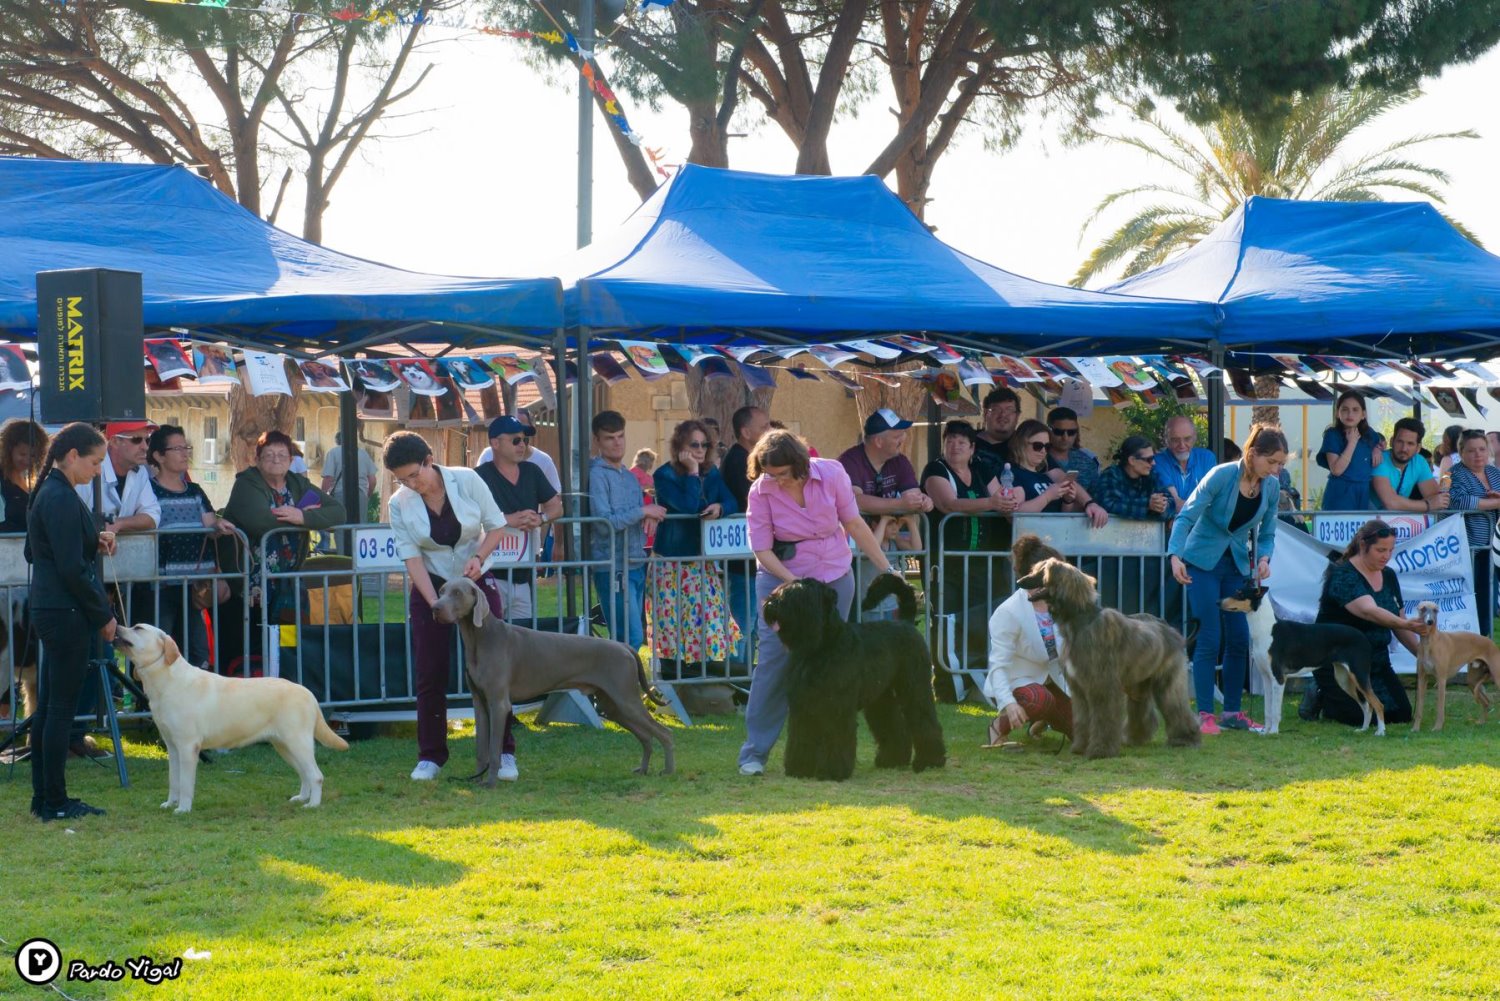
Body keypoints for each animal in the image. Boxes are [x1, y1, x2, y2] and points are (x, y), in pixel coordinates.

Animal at [114, 627, 348, 816]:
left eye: (137, 628)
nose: (117, 626)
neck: (167, 680)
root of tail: (309, 693)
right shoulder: (172, 747)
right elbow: (174, 780)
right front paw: (170, 803)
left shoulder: (188, 746)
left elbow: (186, 783)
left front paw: (183, 809)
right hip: (284, 746)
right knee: (305, 774)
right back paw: (302, 798)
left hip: (297, 742)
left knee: (316, 775)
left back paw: (313, 805)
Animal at [429, 579, 675, 780]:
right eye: (441, 591)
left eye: (457, 593)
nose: (435, 607)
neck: (480, 638)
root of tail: (624, 646)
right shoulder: (480, 703)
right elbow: (481, 749)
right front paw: (477, 779)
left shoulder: (499, 704)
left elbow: (494, 749)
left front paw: (490, 783)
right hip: (611, 705)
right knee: (646, 737)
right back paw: (643, 770)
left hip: (625, 698)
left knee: (664, 733)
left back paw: (668, 771)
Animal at [768, 570, 942, 780]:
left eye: (801, 596)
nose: (771, 604)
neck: (821, 646)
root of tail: (905, 622)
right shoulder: (802, 704)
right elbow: (801, 737)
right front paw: (799, 768)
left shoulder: (837, 706)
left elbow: (836, 738)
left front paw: (832, 771)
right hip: (881, 697)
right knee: (893, 724)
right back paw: (892, 759)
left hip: (914, 687)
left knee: (924, 719)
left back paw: (929, 761)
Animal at [1014, 555, 1200, 759]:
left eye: (1042, 572)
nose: (1019, 582)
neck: (1079, 622)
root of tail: (1175, 633)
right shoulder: (1080, 687)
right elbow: (1083, 719)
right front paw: (1081, 747)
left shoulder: (1101, 684)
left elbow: (1104, 717)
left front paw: (1100, 750)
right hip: (1138, 682)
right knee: (1142, 709)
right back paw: (1135, 738)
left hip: (1166, 679)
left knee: (1176, 706)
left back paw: (1186, 739)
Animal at [1410, 600, 1500, 732]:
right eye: (1423, 608)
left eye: (1436, 610)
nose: (1430, 621)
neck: (1430, 642)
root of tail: (1491, 642)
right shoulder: (1422, 678)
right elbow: (1419, 709)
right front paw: (1415, 728)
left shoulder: (1441, 679)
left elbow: (1440, 708)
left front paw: (1437, 728)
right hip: (1472, 681)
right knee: (1486, 702)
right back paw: (1481, 722)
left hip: (1496, 678)